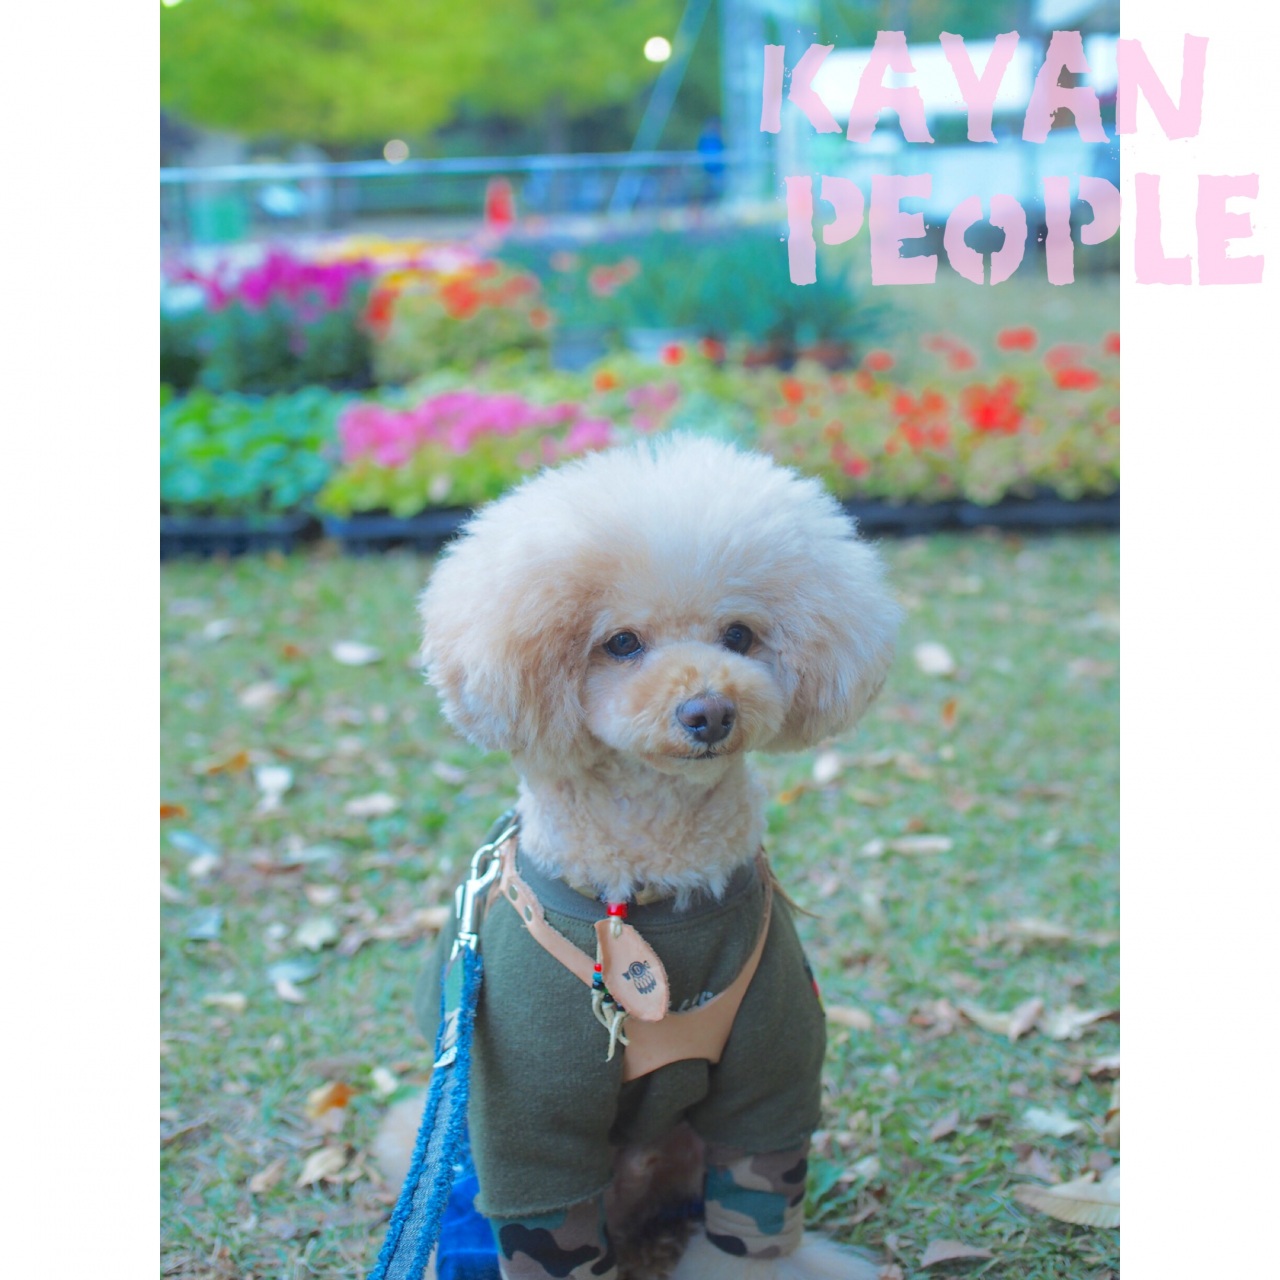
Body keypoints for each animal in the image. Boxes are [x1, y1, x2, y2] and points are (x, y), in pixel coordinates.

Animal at [381, 435, 901, 1279]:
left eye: (739, 635)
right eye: (620, 643)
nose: (708, 711)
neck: (655, 879)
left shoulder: (771, 1083)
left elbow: (754, 1217)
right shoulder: (528, 1122)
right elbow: (544, 1223)